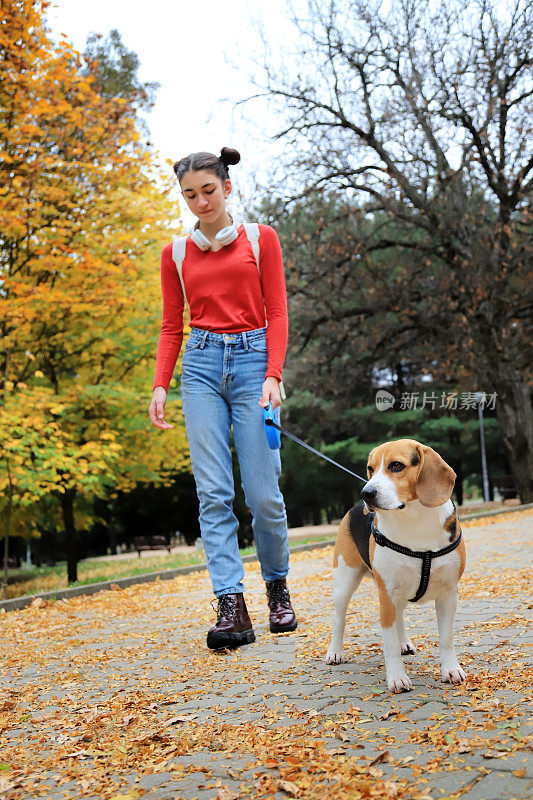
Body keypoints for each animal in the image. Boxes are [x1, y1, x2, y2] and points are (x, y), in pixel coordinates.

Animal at [322, 438, 464, 692]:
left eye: (396, 465)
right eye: (370, 468)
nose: (366, 493)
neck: (414, 520)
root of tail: (353, 507)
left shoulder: (448, 594)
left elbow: (446, 638)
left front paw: (451, 669)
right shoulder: (386, 594)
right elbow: (388, 643)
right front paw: (397, 677)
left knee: (399, 617)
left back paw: (404, 643)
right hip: (344, 582)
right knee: (340, 619)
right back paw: (335, 652)